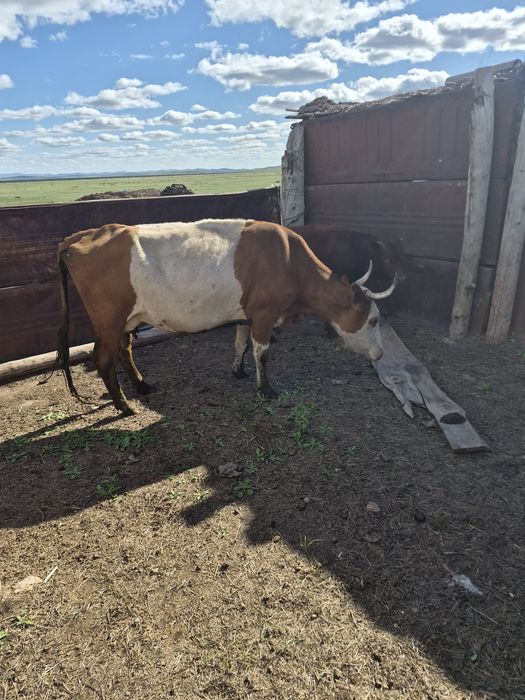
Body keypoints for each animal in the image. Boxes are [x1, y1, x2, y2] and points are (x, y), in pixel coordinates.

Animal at [57, 219, 397, 415]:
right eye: (373, 320)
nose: (381, 354)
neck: (287, 260)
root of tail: (86, 234)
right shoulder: (264, 313)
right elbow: (262, 352)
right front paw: (266, 389)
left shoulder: (247, 314)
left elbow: (240, 344)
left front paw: (238, 370)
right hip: (108, 318)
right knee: (103, 358)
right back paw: (124, 406)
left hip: (128, 317)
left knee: (124, 350)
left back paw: (142, 387)